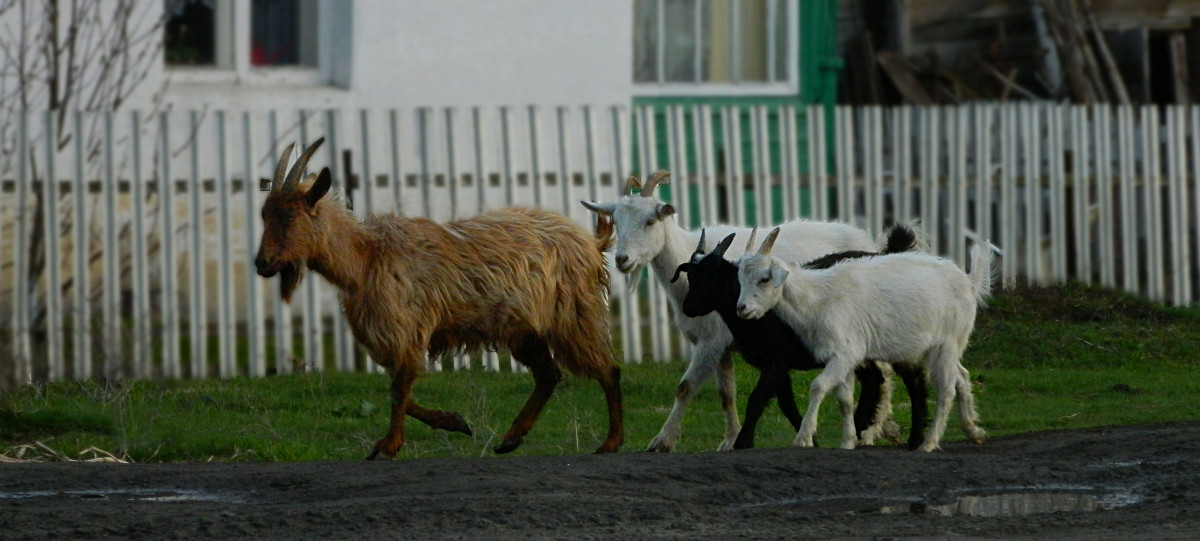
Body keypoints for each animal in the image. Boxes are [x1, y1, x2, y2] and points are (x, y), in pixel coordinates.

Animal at [255, 137, 628, 460]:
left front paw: (389, 446)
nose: (262, 263)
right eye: (264, 214)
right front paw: (456, 422)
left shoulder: (406, 328)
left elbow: (398, 389)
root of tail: (591, 242)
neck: (366, 259)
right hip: (523, 329)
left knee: (608, 370)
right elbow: (401, 390)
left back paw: (611, 442)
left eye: (289, 215)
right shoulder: (391, 336)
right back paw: (511, 438)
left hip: (574, 314)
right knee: (548, 374)